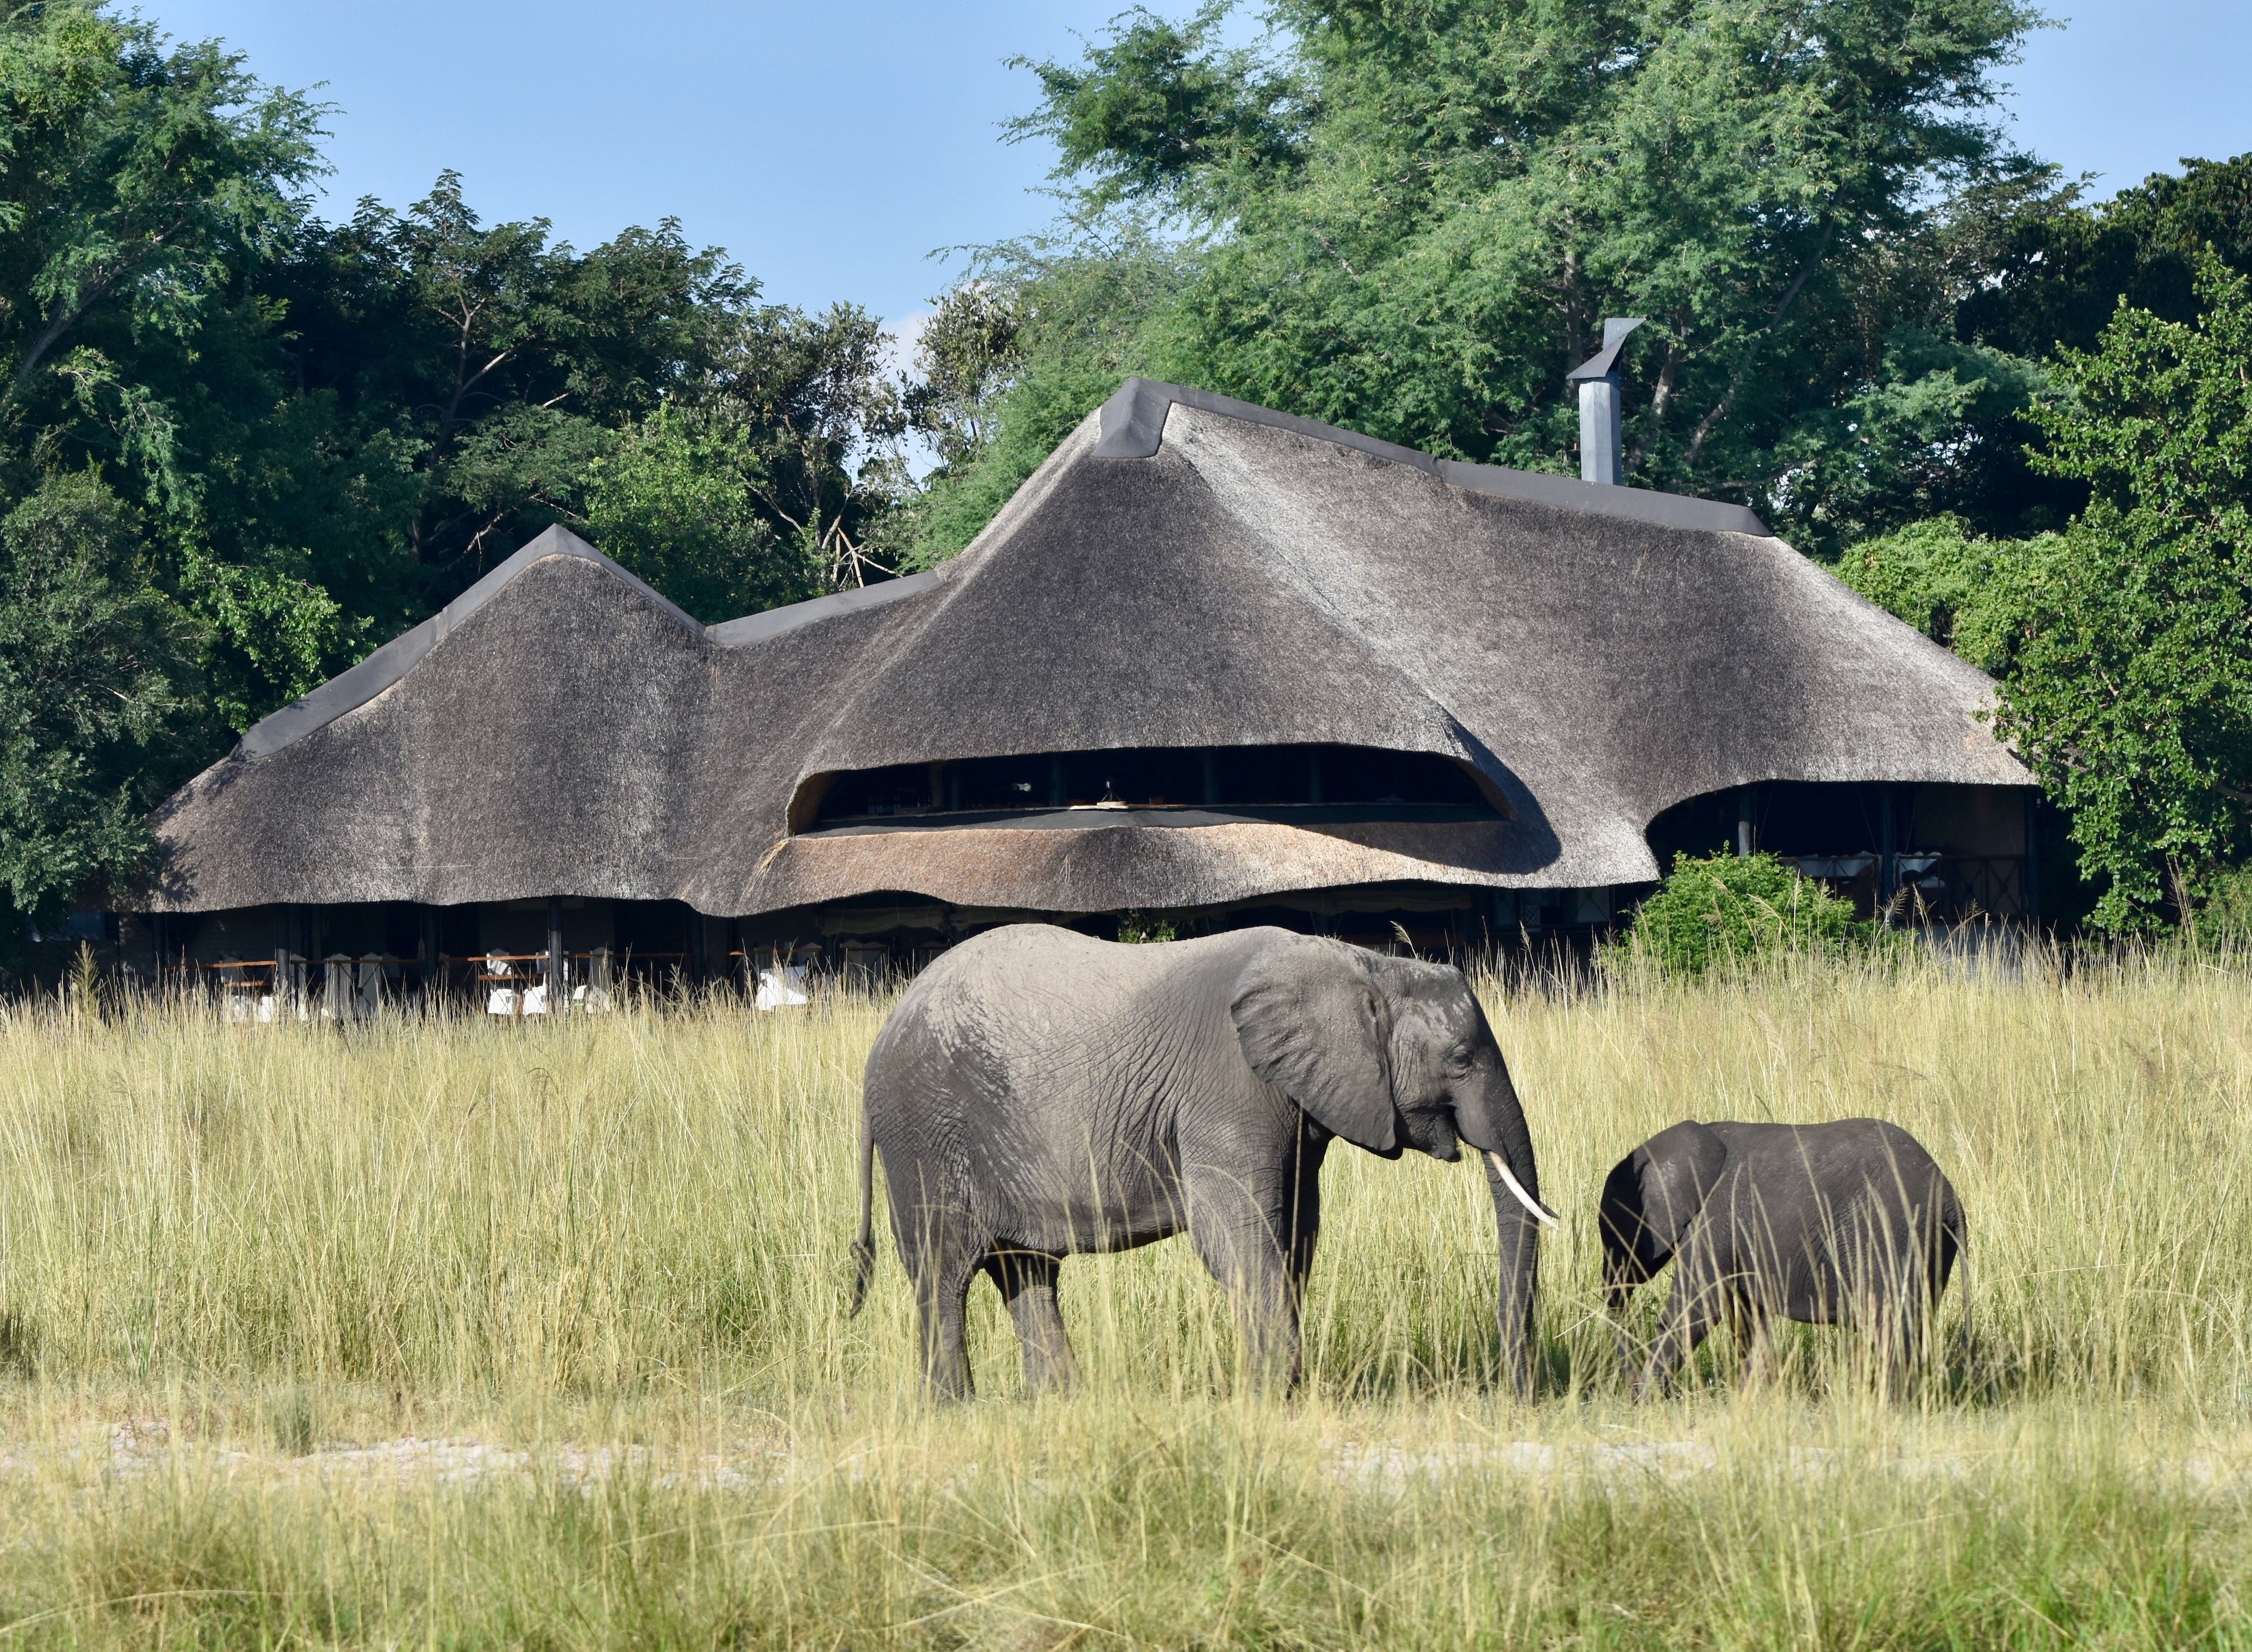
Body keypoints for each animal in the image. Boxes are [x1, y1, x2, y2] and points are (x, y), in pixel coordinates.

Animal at [851, 927, 1558, 1404]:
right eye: (1462, 1058)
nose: (1517, 1397)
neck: (1366, 964)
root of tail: (882, 1036)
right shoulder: (1229, 1089)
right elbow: (1235, 1236)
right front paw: (1271, 1396)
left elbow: (1293, 1235)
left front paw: (1270, 1390)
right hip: (925, 1133)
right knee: (944, 1273)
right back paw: (955, 1408)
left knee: (1027, 1273)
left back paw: (1058, 1402)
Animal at [1603, 1125, 1955, 1395]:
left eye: (1614, 1233)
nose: (1628, 1386)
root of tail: (1948, 1194)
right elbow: (1748, 1317)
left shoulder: (1714, 1219)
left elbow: (1700, 1305)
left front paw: (1644, 1399)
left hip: (1894, 1233)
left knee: (1893, 1324)